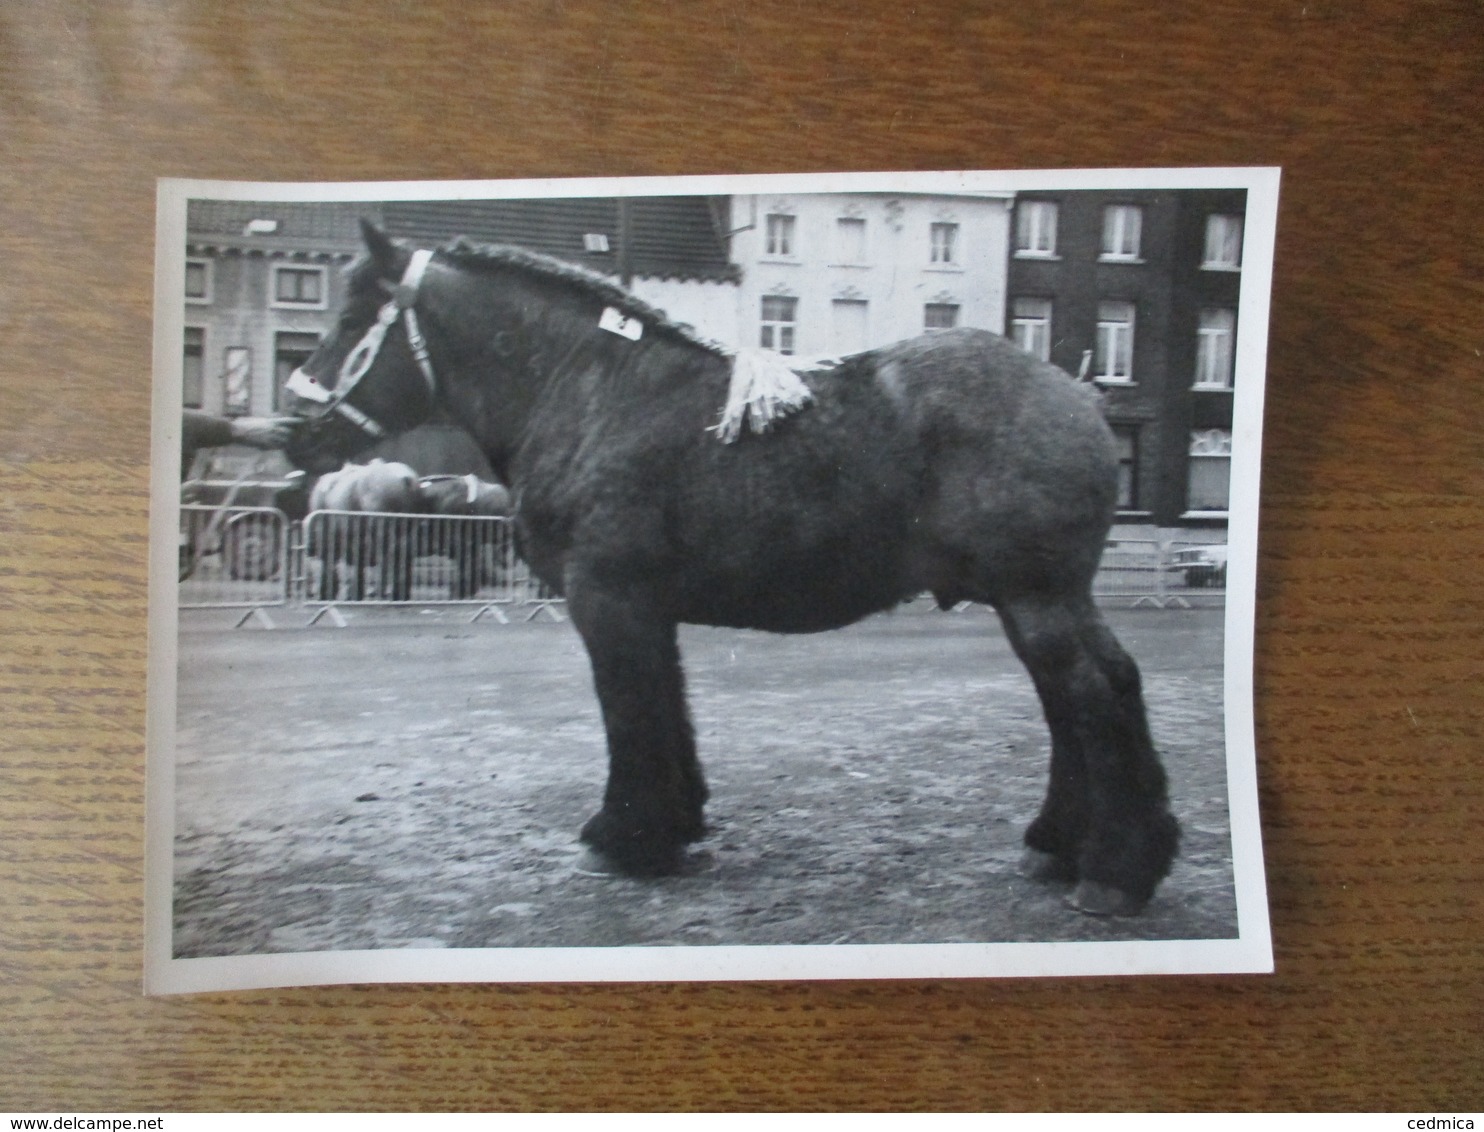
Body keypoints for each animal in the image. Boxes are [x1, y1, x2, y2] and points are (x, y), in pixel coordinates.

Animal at [283, 219, 1175, 913]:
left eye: (357, 313)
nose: (294, 429)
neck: (594, 391)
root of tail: (1079, 393)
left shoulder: (607, 600)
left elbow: (629, 711)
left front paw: (625, 836)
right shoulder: (646, 609)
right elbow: (665, 708)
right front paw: (674, 825)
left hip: (1037, 597)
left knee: (1092, 699)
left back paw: (1114, 871)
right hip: (1040, 599)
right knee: (1087, 698)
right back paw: (1064, 844)